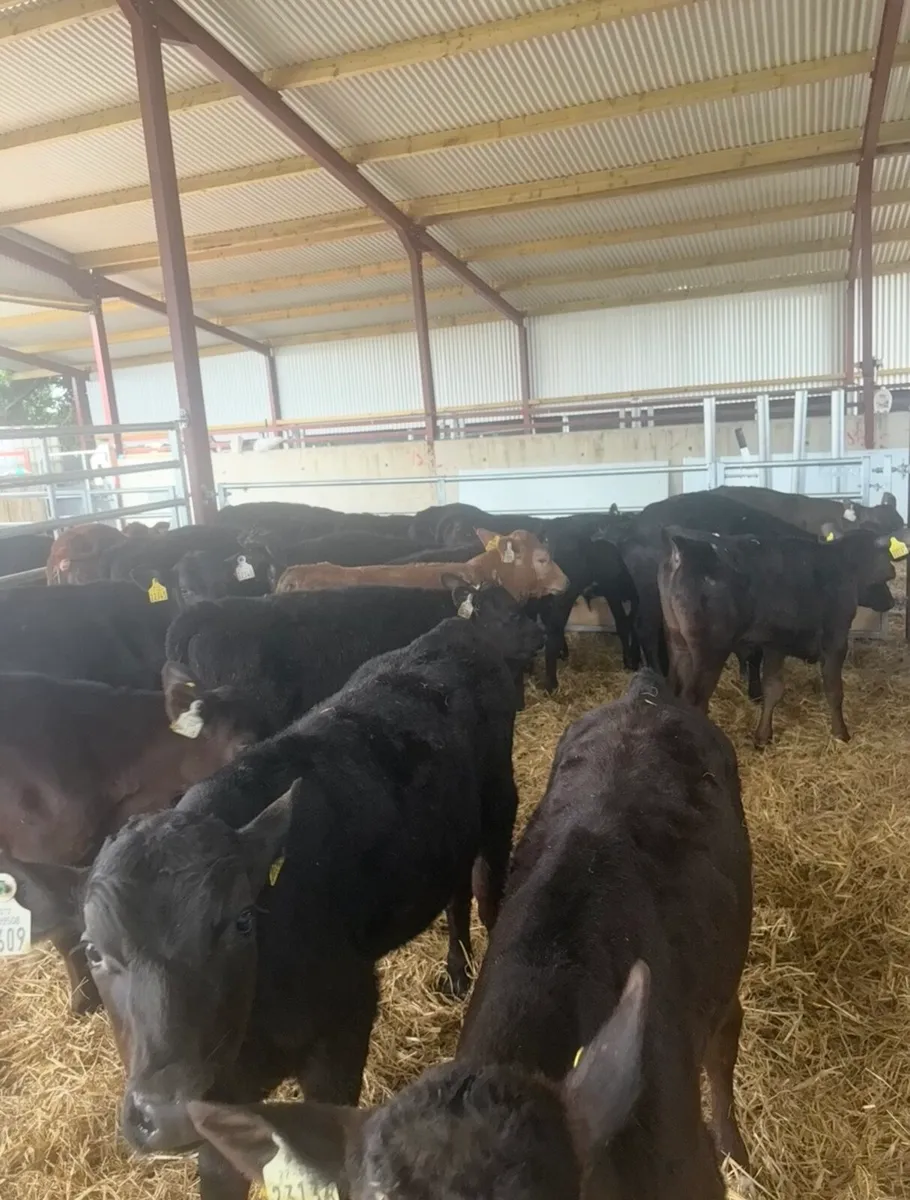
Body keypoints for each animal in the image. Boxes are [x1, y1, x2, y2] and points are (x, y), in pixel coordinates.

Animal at [79, 614, 524, 1199]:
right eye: (93, 950)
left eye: (242, 921)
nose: (167, 1112)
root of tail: (454, 629)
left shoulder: (344, 1026)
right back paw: (456, 970)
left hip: (499, 810)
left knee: (488, 892)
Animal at [658, 524, 902, 744]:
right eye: (886, 560)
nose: (890, 601)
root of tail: (683, 545)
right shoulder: (836, 640)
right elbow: (834, 691)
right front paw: (841, 733)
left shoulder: (775, 644)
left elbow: (773, 689)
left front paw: (763, 736)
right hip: (710, 652)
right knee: (695, 699)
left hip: (678, 644)